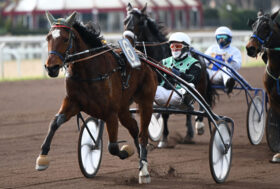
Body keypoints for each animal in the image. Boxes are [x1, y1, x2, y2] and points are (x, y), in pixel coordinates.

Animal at [35, 11, 158, 183]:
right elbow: (55, 123)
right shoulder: (73, 102)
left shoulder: (110, 113)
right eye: (48, 38)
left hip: (146, 102)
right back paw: (142, 162)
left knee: (143, 135)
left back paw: (144, 171)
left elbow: (113, 147)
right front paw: (42, 158)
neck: (89, 72)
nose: (51, 67)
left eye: (65, 39)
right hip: (123, 109)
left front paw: (126, 151)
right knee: (134, 127)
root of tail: (144, 60)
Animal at [122, 2, 214, 145]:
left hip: (200, 85)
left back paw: (197, 127)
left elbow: (165, 112)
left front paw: (164, 138)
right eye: (125, 21)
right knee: (188, 109)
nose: (127, 39)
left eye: (140, 22)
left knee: (199, 104)